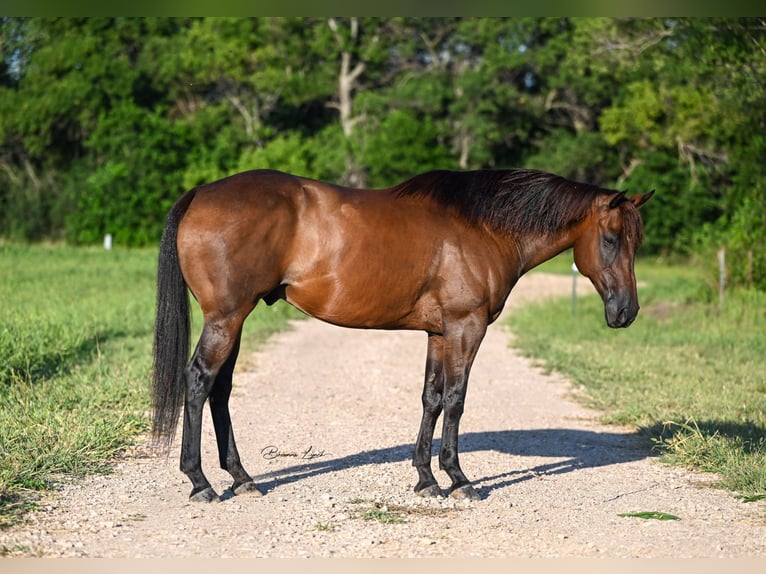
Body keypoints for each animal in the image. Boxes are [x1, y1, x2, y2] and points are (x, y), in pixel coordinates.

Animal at [152, 168, 656, 504]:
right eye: (611, 239)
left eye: (637, 241)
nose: (626, 312)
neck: (483, 228)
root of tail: (201, 193)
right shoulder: (466, 327)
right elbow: (456, 399)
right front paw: (459, 479)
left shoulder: (438, 333)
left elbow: (431, 399)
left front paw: (425, 478)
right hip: (226, 318)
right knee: (199, 381)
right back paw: (200, 483)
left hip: (235, 320)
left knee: (220, 389)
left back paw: (242, 478)